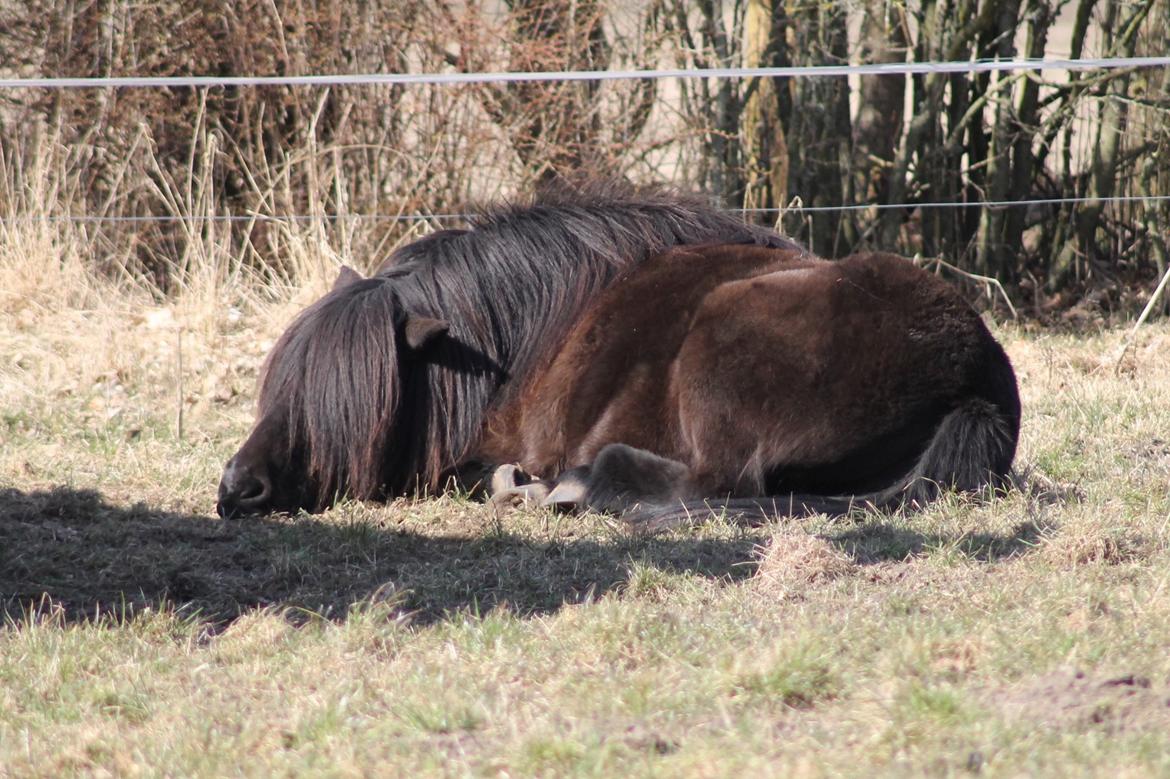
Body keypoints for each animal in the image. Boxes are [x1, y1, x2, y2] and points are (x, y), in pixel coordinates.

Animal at [215, 180, 1020, 528]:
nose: (235, 490)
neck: (522, 340)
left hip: (721, 343)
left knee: (716, 486)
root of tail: (973, 374)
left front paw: (520, 482)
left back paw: (569, 487)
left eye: (342, 405)